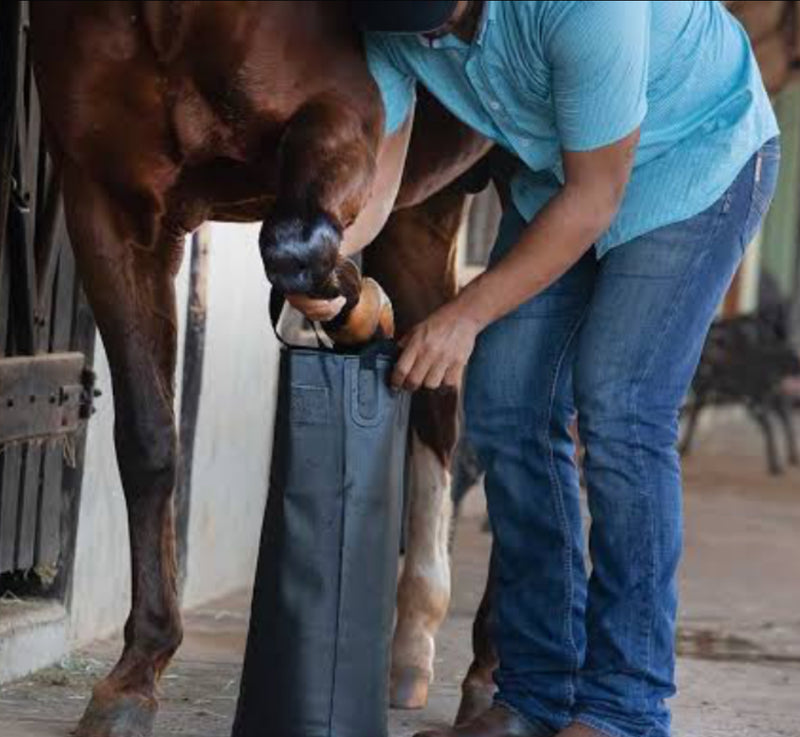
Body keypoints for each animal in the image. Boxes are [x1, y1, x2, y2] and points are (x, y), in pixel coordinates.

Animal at [29, 1, 494, 736]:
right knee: (440, 405)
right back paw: (413, 645)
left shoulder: (347, 116)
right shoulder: (108, 203)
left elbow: (296, 244)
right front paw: (134, 676)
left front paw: (359, 309)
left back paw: (488, 674)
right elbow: (149, 439)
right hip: (428, 210)